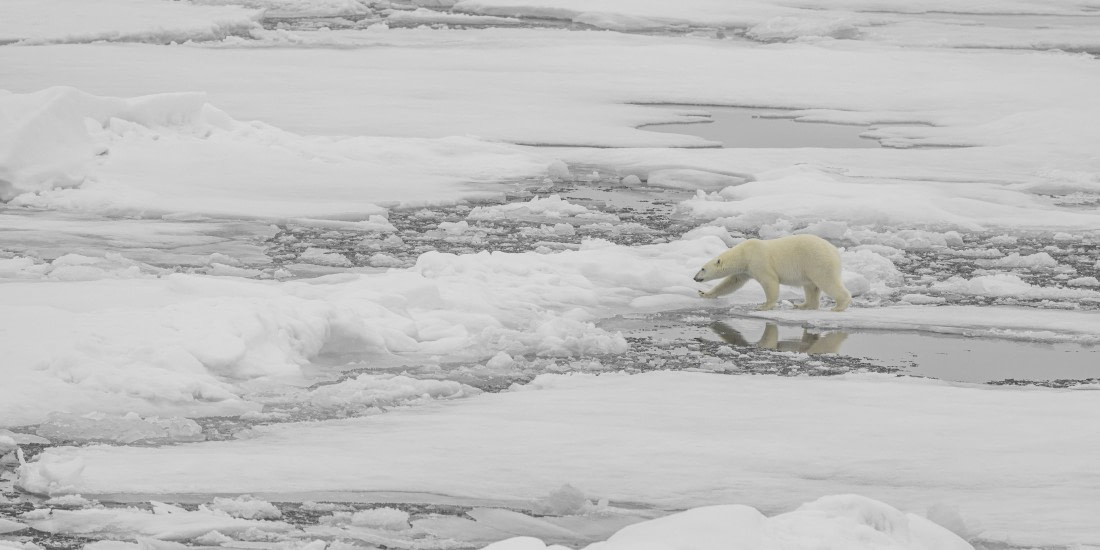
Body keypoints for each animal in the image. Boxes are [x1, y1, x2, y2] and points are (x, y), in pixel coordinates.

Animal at [693, 234, 851, 312]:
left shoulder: (759, 261)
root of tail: (835, 251)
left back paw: (838, 306)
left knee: (826, 281)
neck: (745, 254)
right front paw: (704, 293)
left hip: (818, 261)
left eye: (702, 269)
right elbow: (731, 282)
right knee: (811, 287)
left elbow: (770, 282)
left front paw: (763, 306)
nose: (695, 278)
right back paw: (802, 305)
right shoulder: (745, 270)